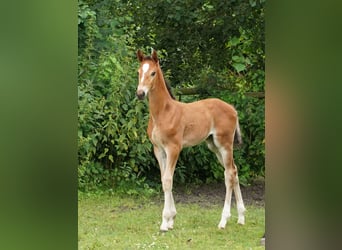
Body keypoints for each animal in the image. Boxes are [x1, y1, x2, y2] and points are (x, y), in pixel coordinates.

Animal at [135, 49, 244, 232]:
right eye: (138, 72)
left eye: (153, 72)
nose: (140, 93)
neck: (163, 112)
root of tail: (233, 109)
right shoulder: (158, 149)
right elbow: (163, 179)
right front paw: (171, 219)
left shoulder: (174, 148)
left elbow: (168, 180)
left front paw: (165, 222)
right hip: (213, 146)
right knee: (234, 171)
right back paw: (242, 217)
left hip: (225, 144)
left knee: (229, 174)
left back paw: (223, 220)